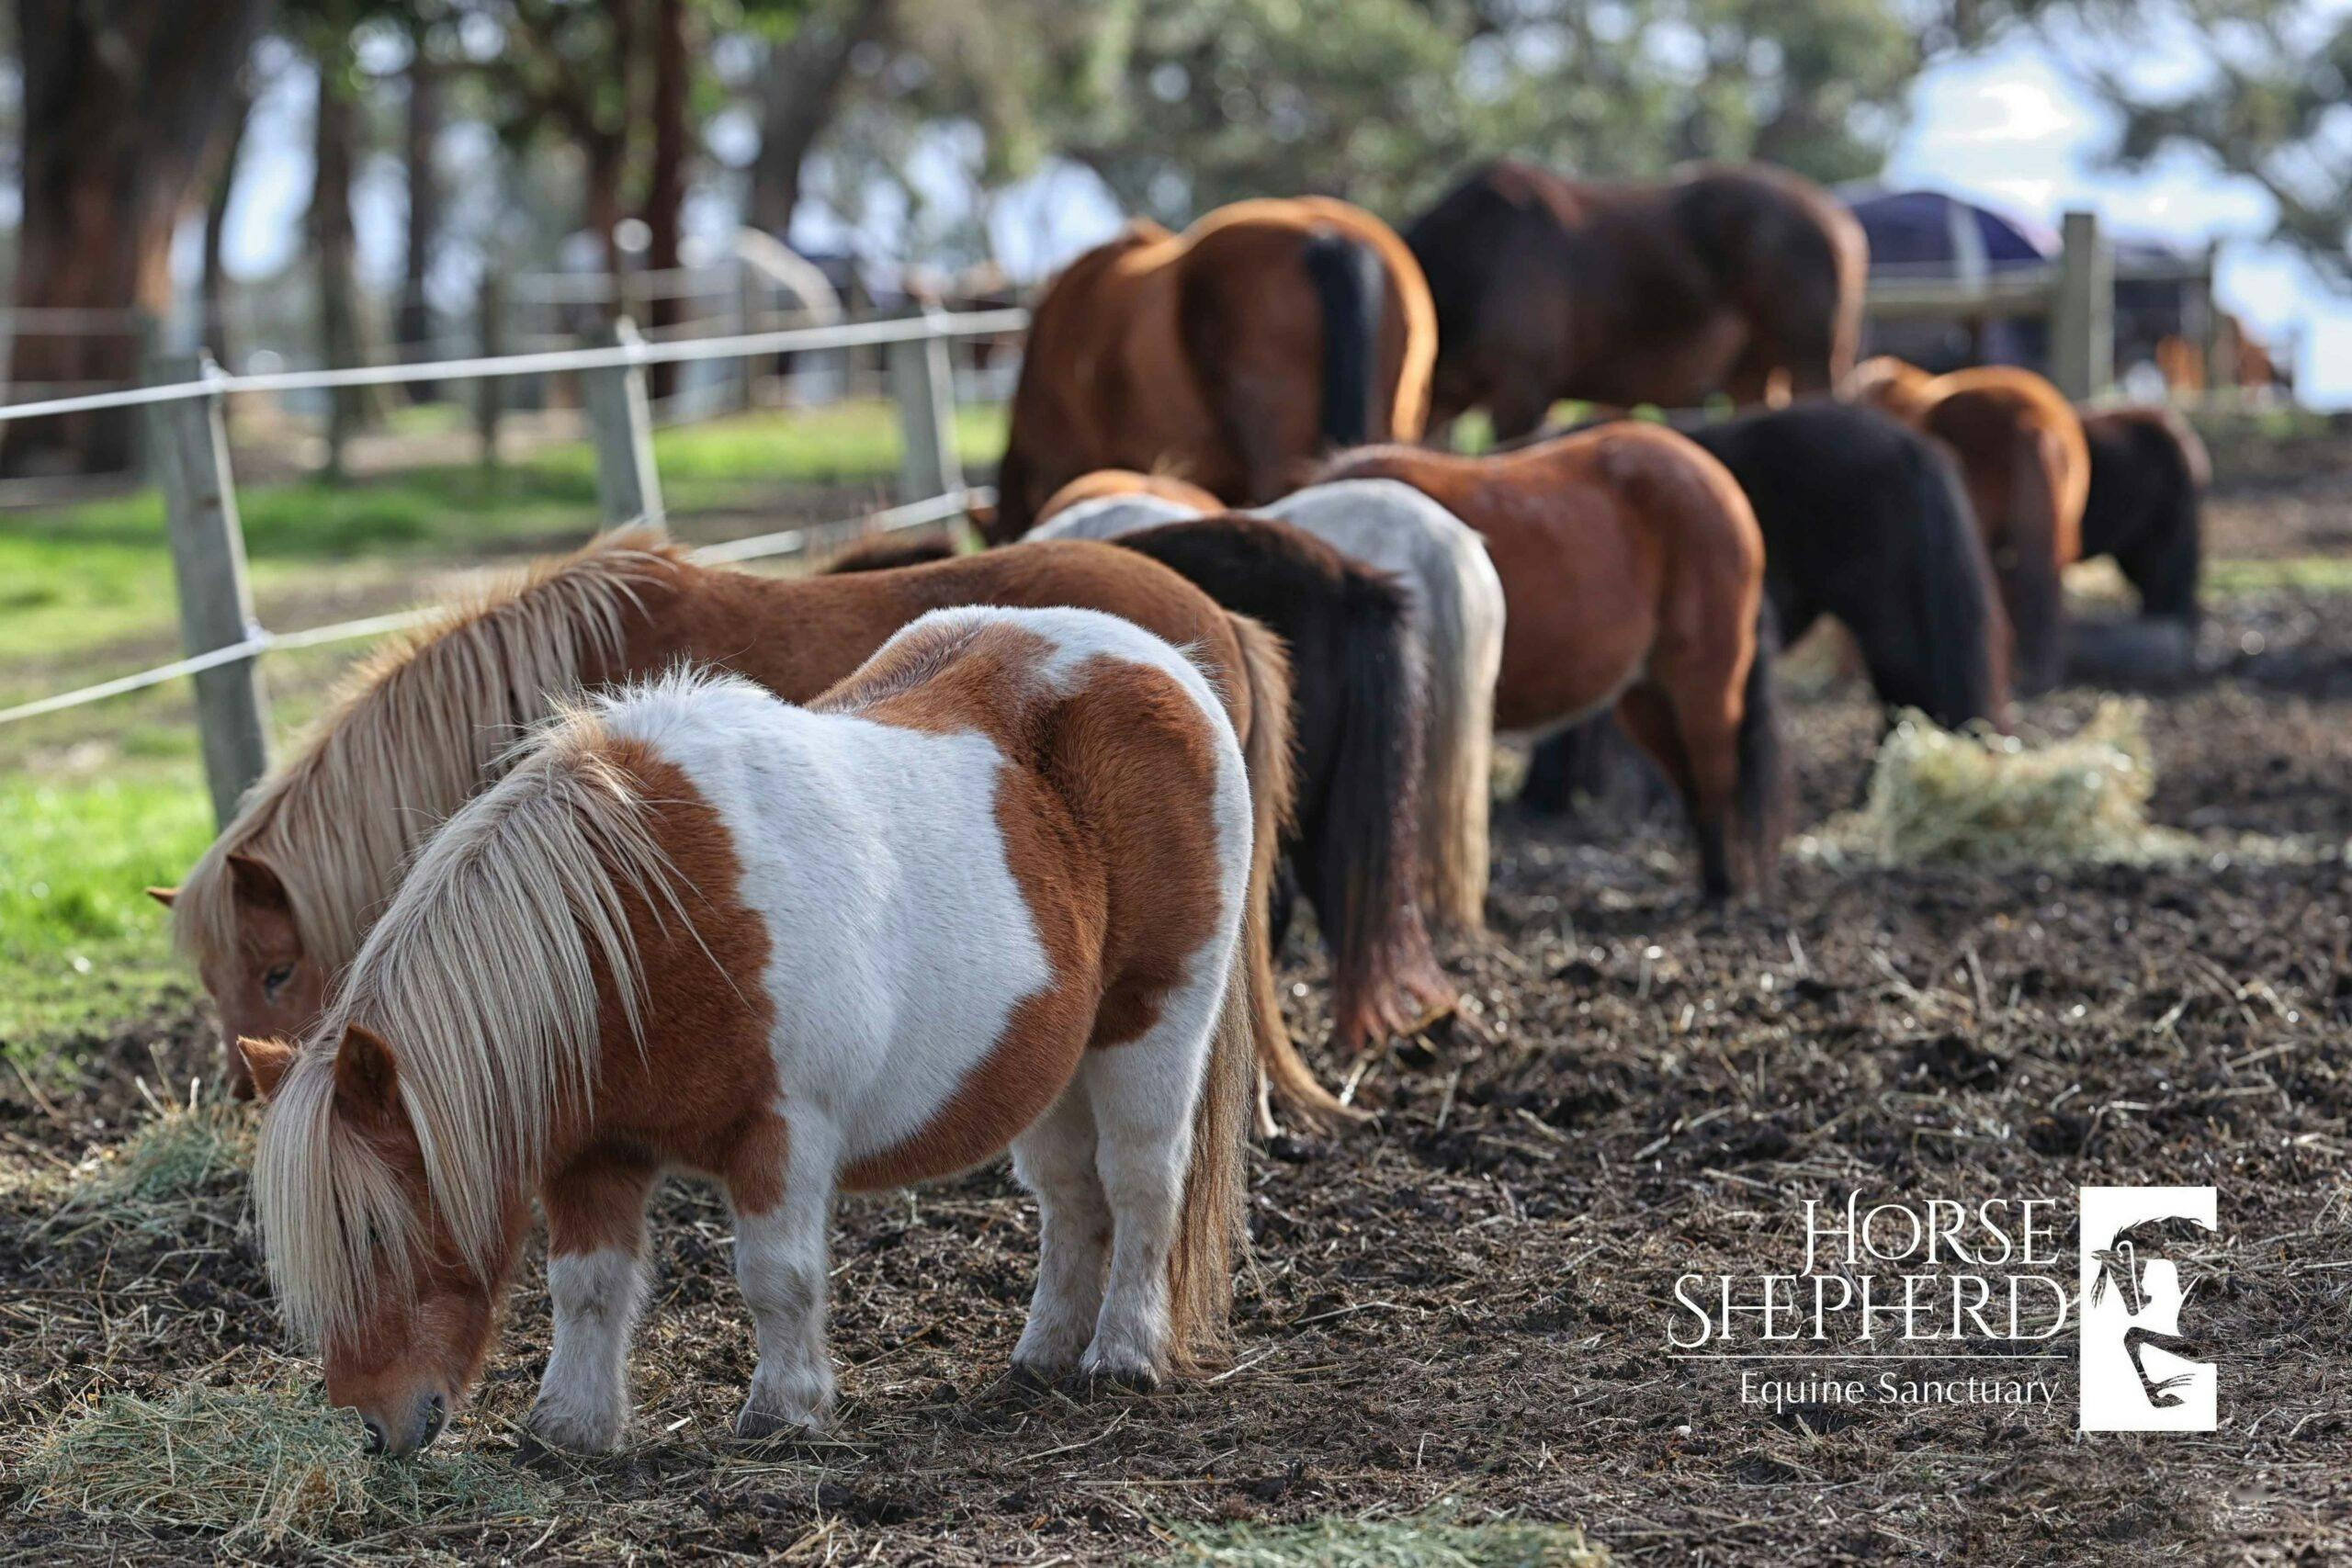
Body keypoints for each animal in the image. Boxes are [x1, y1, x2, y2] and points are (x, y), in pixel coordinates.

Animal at [243, 610, 1257, 1457]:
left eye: (377, 1234)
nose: (375, 1427)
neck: (641, 922)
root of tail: (1166, 661)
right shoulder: (594, 1154)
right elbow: (587, 1285)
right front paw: (570, 1426)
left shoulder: (784, 1133)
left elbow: (777, 1274)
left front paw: (784, 1411)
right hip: (1053, 1063)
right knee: (1068, 1197)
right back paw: (1043, 1353)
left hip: (1152, 1024)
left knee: (1139, 1185)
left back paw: (1122, 1354)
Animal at [1319, 426, 1786, 899]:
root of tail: (1715, 475)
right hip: (1647, 698)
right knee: (1691, 782)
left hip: (1704, 682)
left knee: (1717, 778)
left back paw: (1722, 892)